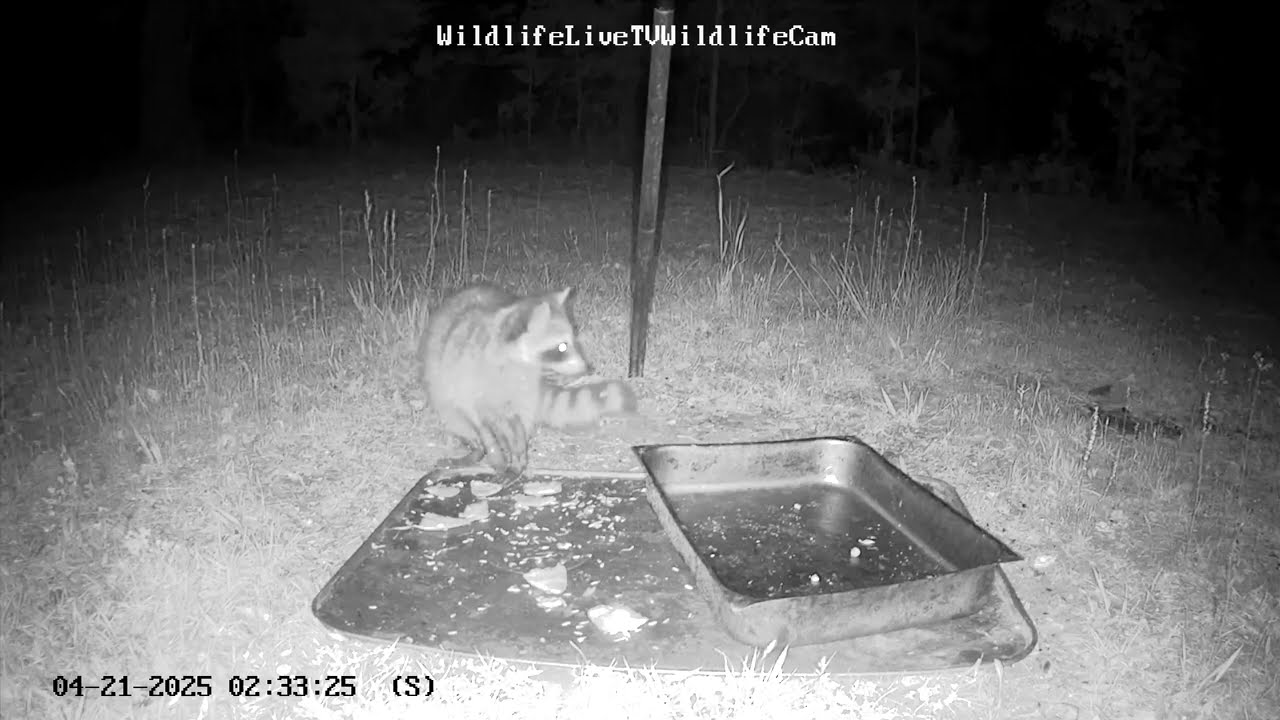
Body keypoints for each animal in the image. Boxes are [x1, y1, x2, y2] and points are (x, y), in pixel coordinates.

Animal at [418, 284, 637, 484]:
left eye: (573, 340)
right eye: (562, 347)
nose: (588, 367)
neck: (520, 366)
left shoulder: (519, 396)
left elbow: (517, 427)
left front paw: (518, 457)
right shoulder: (464, 381)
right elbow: (479, 423)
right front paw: (495, 452)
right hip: (443, 393)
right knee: (458, 419)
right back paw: (478, 449)